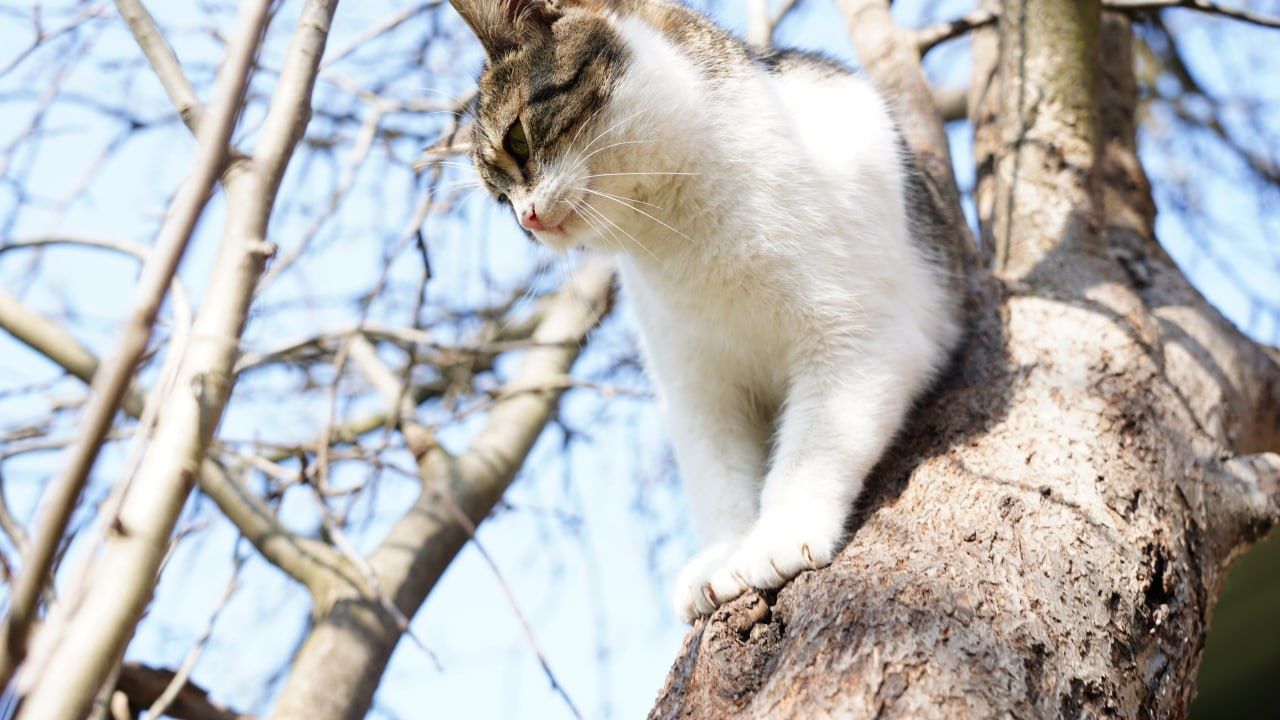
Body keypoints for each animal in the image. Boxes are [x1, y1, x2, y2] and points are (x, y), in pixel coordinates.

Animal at [450, 0, 962, 620]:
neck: (680, 227)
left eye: (519, 140)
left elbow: (812, 448)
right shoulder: (697, 387)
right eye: (499, 200)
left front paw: (776, 537)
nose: (528, 220)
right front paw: (724, 554)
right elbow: (716, 476)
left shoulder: (855, 339)